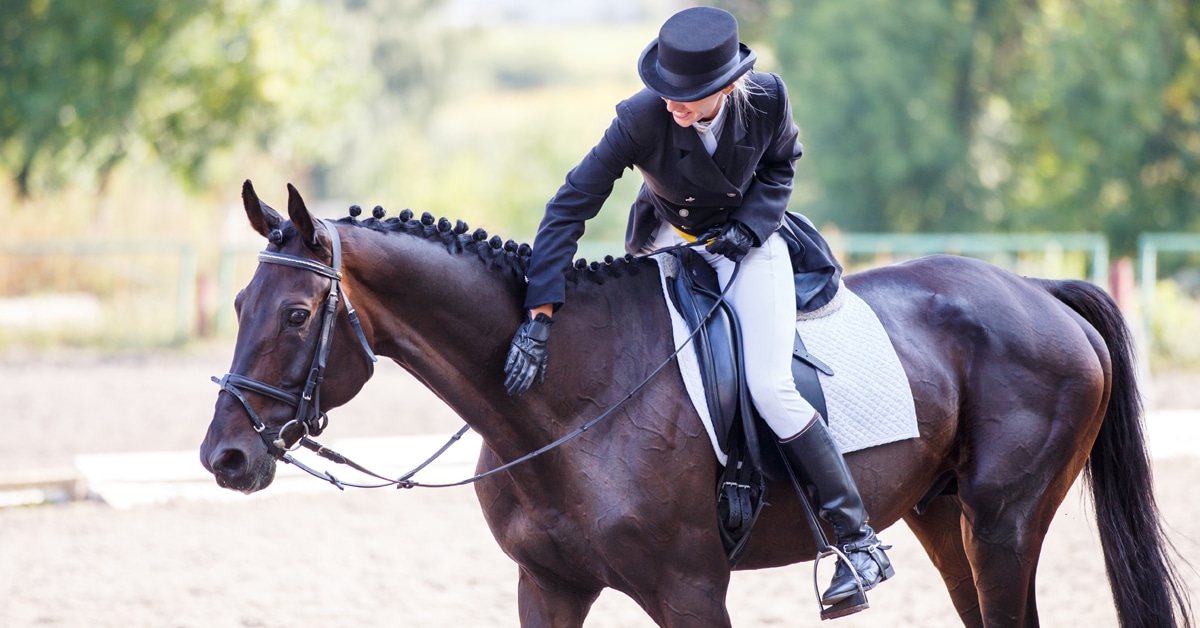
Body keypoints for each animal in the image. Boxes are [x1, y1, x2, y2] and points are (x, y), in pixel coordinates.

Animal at [201, 181, 1192, 627]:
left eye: (296, 313)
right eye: (240, 304)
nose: (225, 458)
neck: (561, 406)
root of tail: (1039, 292)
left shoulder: (688, 591)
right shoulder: (546, 585)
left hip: (1004, 522)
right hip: (941, 517)